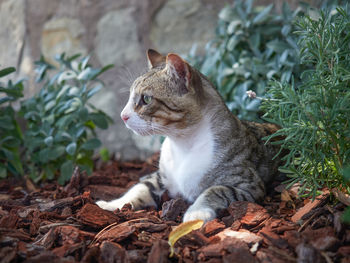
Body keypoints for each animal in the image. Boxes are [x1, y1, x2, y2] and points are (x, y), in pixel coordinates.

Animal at [96, 49, 282, 223]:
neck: (182, 145)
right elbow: (140, 187)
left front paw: (197, 213)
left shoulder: (249, 185)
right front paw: (111, 204)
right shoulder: (160, 177)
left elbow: (217, 190)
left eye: (146, 99)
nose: (123, 116)